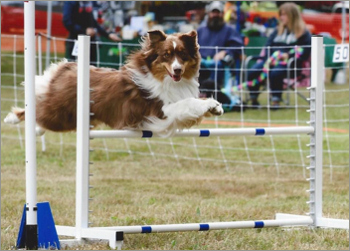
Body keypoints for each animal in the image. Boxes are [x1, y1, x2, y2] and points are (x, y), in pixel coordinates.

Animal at [4, 29, 223, 137]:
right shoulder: (159, 110)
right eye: (166, 55)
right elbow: (187, 103)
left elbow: (192, 105)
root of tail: (66, 68)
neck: (165, 80)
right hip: (60, 113)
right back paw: (12, 119)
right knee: (35, 112)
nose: (177, 70)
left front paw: (215, 107)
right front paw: (210, 105)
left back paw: (36, 130)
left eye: (183, 55)